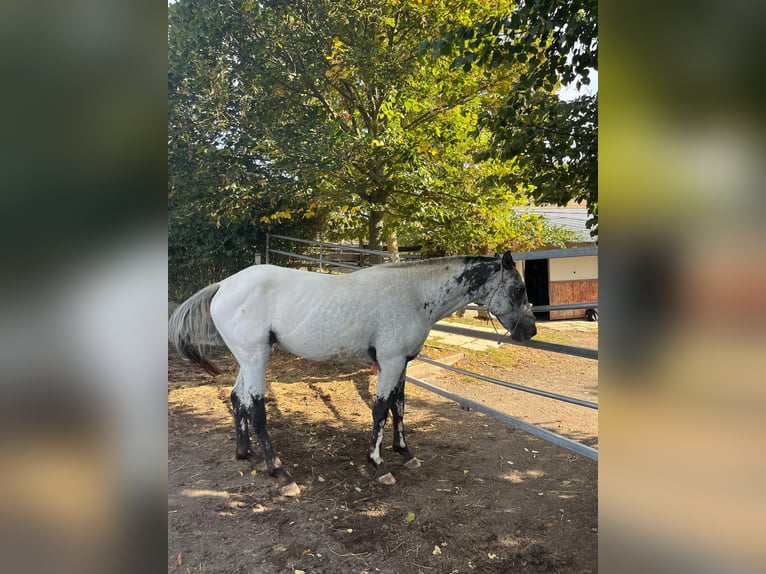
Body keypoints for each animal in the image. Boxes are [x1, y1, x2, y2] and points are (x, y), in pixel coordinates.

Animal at [170, 254, 536, 498]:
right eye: (518, 289)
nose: (530, 331)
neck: (413, 294)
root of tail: (223, 285)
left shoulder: (401, 363)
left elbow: (399, 408)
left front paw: (406, 453)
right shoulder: (389, 361)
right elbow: (380, 410)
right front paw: (379, 466)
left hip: (247, 359)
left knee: (238, 399)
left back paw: (245, 453)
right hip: (255, 356)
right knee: (257, 408)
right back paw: (281, 473)